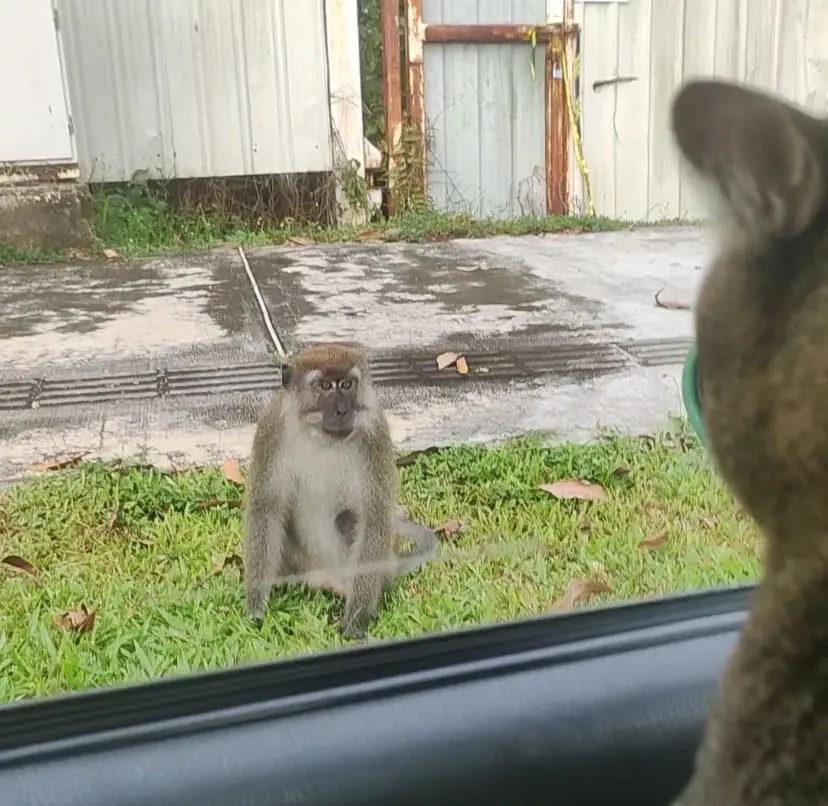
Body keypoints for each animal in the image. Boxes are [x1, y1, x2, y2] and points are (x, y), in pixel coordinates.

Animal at [243, 341, 439, 640]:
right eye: (325, 386)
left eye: (347, 384)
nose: (342, 410)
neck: (321, 437)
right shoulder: (271, 428)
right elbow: (267, 510)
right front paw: (255, 607)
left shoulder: (374, 432)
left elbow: (374, 518)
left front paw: (355, 620)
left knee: (350, 519)